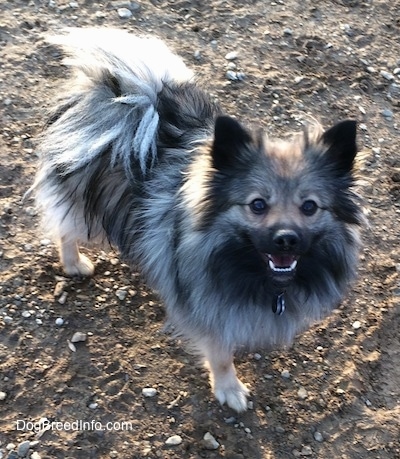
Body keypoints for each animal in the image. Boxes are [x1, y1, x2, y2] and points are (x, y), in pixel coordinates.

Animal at [29, 28, 364, 414]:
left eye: (309, 207)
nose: (286, 239)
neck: (250, 268)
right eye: (257, 205)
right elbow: (220, 354)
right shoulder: (206, 307)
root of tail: (124, 97)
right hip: (86, 202)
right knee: (65, 229)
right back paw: (74, 263)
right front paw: (229, 389)